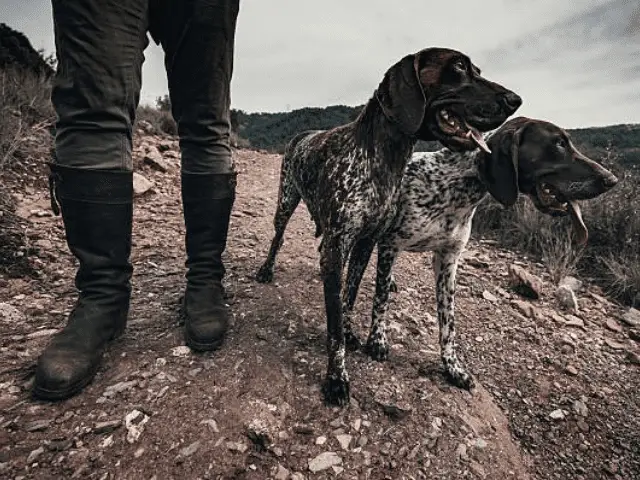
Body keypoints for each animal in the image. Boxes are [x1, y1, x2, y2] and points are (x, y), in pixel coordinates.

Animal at [254, 47, 520, 404]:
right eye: (459, 66)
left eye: (477, 69)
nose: (515, 99)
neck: (383, 159)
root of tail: (301, 136)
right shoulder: (341, 244)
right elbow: (335, 325)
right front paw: (336, 377)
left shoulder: (365, 244)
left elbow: (348, 298)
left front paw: (350, 332)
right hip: (285, 202)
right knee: (278, 238)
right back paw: (266, 270)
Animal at [344, 117, 620, 390]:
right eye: (558, 143)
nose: (611, 180)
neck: (456, 187)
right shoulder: (390, 245)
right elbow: (380, 300)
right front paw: (377, 340)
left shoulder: (448, 260)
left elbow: (448, 322)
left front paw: (453, 367)